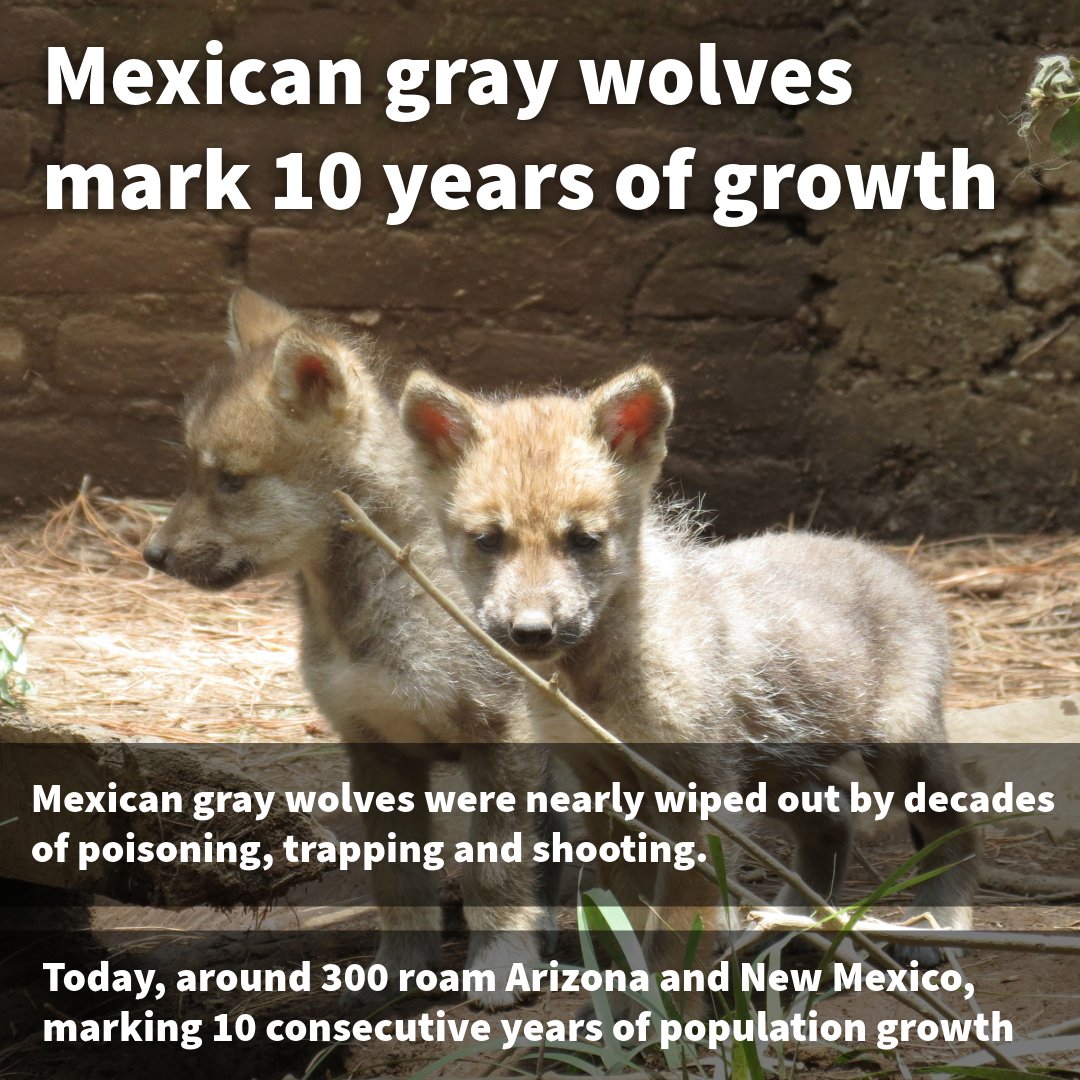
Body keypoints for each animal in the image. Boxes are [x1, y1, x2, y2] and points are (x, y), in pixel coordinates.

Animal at [143, 289, 558, 1009]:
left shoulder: (501, 737)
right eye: (193, 470)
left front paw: (502, 964)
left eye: (231, 480)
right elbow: (399, 883)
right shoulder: (375, 746)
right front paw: (399, 972)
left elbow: (495, 874)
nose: (152, 554)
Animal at [399, 364, 979, 971]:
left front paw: (666, 995)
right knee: (833, 825)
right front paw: (627, 991)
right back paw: (791, 926)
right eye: (488, 540)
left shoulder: (695, 795)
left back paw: (937, 927)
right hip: (773, 772)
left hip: (896, 747)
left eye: (584, 540)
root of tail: (903, 569)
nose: (531, 631)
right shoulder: (608, 790)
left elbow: (674, 935)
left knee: (959, 828)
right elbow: (628, 922)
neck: (594, 684)